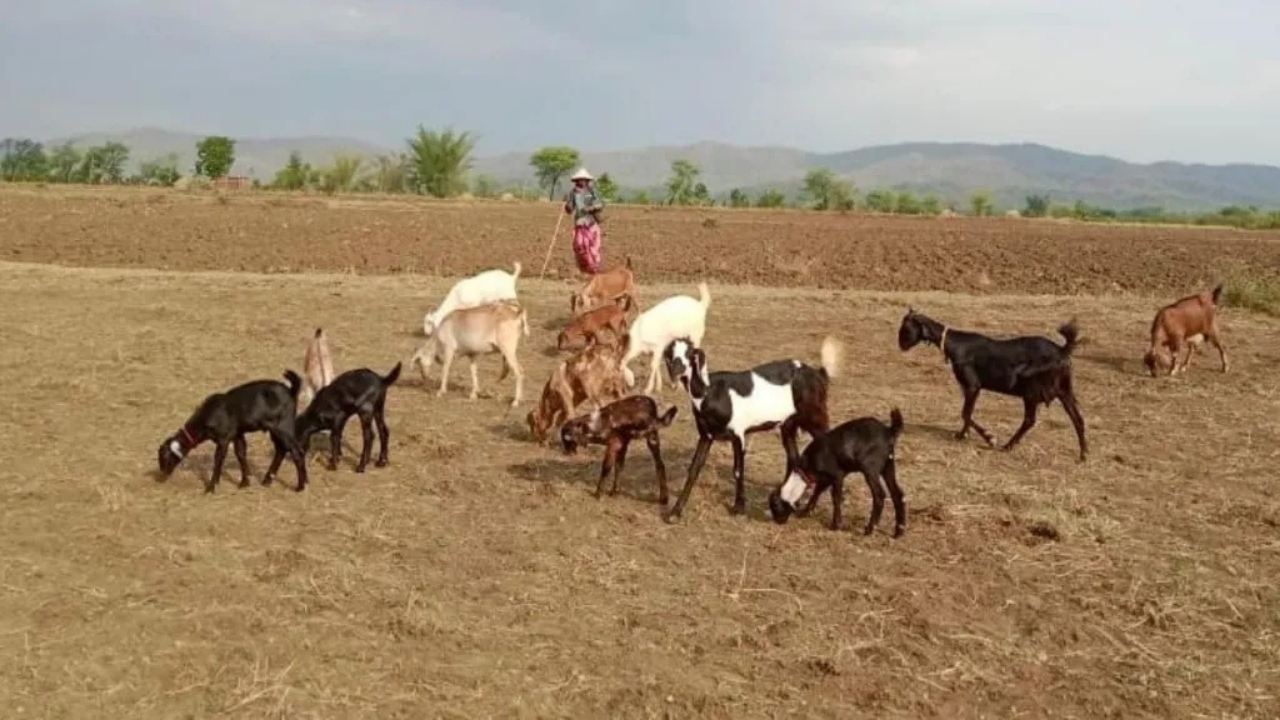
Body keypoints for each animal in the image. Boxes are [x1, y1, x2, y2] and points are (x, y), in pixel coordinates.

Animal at [156, 371, 309, 493]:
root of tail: (291, 391)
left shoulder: (223, 438)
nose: (161, 475)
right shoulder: (237, 434)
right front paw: (244, 482)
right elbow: (240, 453)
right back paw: (267, 480)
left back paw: (300, 486)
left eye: (165, 458)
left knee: (296, 452)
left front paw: (210, 487)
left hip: (283, 427)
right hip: (275, 430)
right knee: (281, 450)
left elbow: (218, 459)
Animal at [660, 335, 842, 523]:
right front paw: (674, 512)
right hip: (788, 425)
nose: (677, 369)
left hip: (816, 418)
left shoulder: (738, 434)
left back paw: (813, 512)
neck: (710, 392)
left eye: (690, 353)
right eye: (669, 354)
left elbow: (738, 470)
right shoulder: (706, 435)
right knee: (793, 459)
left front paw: (738, 508)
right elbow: (694, 469)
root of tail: (817, 374)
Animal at [767, 408, 907, 538]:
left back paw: (869, 529)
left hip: (870, 468)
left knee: (879, 495)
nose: (778, 522)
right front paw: (805, 512)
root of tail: (889, 431)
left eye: (775, 506)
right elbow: (817, 492)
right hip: (888, 466)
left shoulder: (837, 475)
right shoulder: (825, 478)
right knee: (897, 494)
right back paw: (898, 531)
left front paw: (836, 525)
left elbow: (836, 498)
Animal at [898, 308, 1087, 461]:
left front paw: (989, 437)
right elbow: (967, 413)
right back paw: (1083, 454)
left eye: (906, 327)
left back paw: (1007, 445)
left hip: (1031, 392)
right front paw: (962, 435)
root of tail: (1062, 350)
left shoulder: (973, 385)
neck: (955, 344)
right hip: (1065, 391)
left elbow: (965, 413)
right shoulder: (970, 388)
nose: (901, 345)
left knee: (1029, 420)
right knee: (1077, 418)